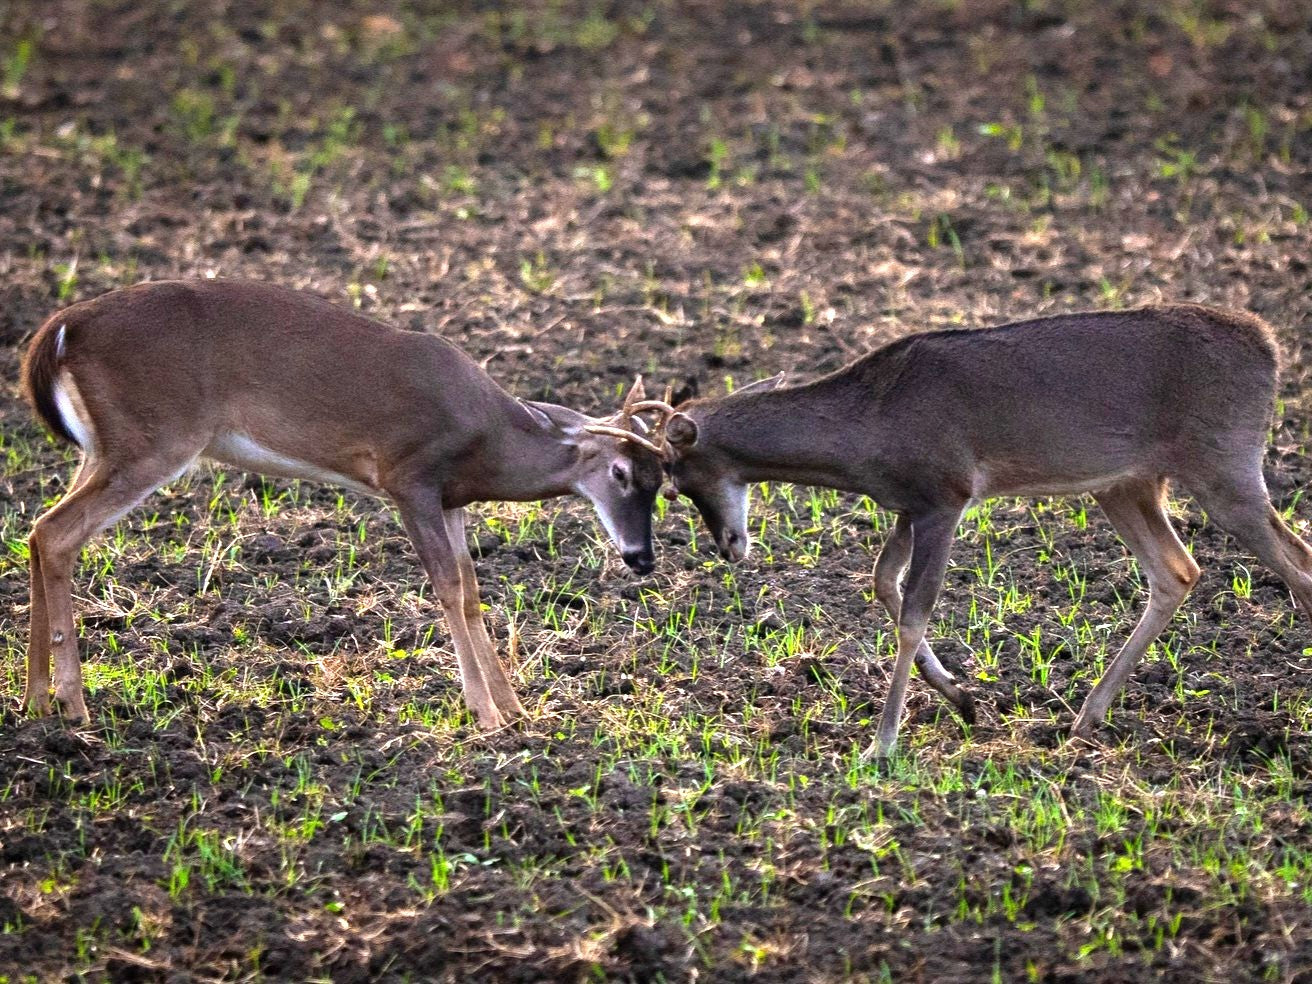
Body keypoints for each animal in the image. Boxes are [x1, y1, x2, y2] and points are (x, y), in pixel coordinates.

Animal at [19, 278, 671, 730]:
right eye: (621, 473)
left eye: (661, 481)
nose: (642, 557)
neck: (486, 439)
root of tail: (60, 330)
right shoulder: (409, 476)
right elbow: (448, 587)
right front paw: (486, 715)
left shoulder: (452, 497)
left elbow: (471, 589)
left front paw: (514, 709)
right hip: (154, 436)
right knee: (57, 532)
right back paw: (73, 704)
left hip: (103, 446)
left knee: (36, 530)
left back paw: (35, 701)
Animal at [645, 304, 1312, 757]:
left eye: (674, 481)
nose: (728, 546)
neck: (865, 429)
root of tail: (1269, 346)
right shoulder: (911, 502)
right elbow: (882, 580)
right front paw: (963, 698)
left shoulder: (947, 493)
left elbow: (914, 612)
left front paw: (882, 742)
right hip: (1127, 483)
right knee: (1178, 571)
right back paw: (1085, 717)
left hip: (1224, 461)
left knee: (1295, 561)